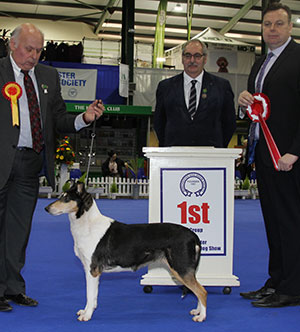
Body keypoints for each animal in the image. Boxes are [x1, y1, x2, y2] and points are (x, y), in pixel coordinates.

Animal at [45, 182, 206, 322]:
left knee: (202, 291)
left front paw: (87, 315)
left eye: (66, 198)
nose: (46, 208)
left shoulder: (93, 270)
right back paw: (197, 311)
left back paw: (201, 317)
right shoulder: (89, 270)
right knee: (198, 289)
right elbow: (93, 295)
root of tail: (194, 236)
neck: (87, 225)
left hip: (181, 268)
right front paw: (86, 311)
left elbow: (90, 295)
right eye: (61, 195)